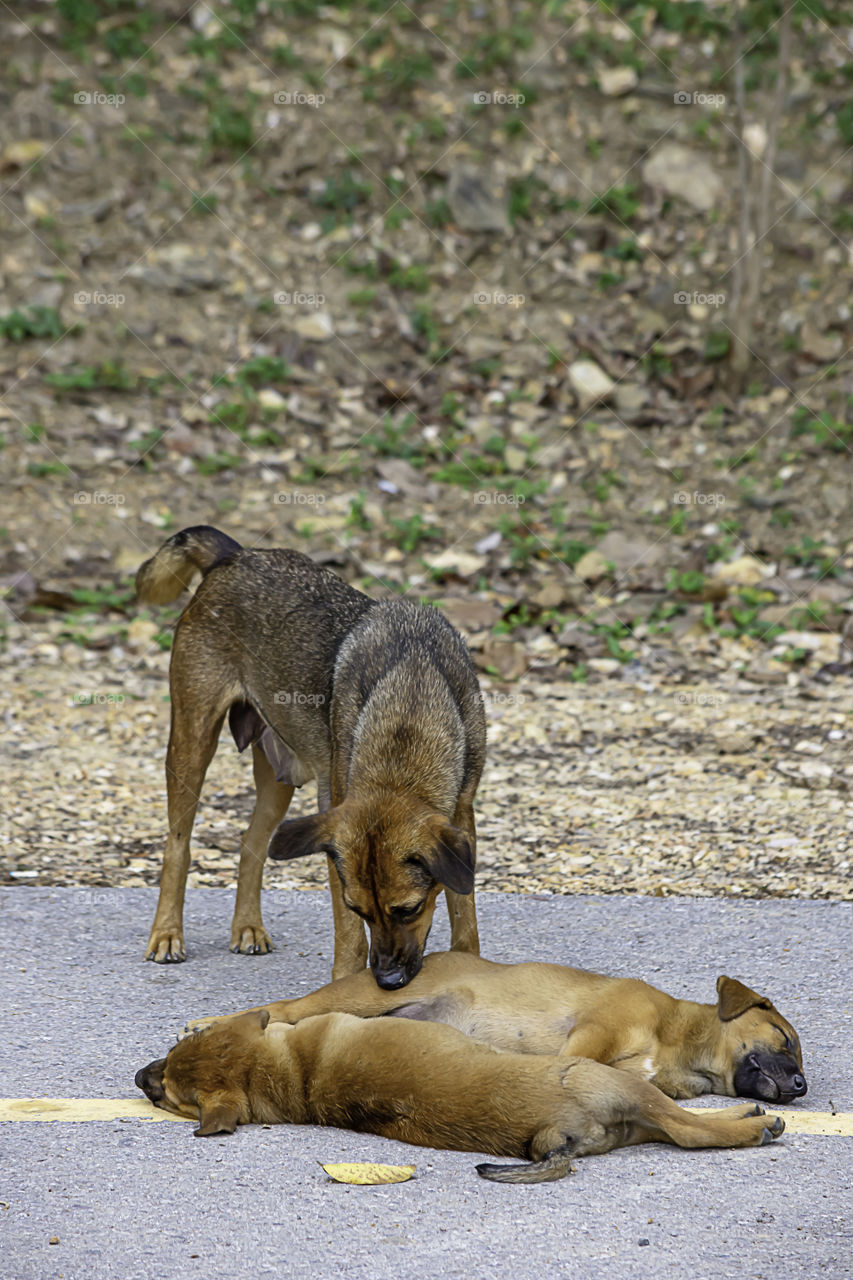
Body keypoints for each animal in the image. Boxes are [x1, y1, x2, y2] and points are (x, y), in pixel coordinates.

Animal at [135, 524, 481, 983]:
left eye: (409, 909)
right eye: (360, 908)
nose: (387, 981)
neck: (410, 706)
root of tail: (236, 555)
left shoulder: (462, 815)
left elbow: (465, 916)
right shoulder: (335, 821)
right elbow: (350, 938)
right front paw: (346, 985)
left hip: (277, 775)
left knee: (251, 843)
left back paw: (248, 927)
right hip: (191, 743)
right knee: (179, 846)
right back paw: (167, 934)